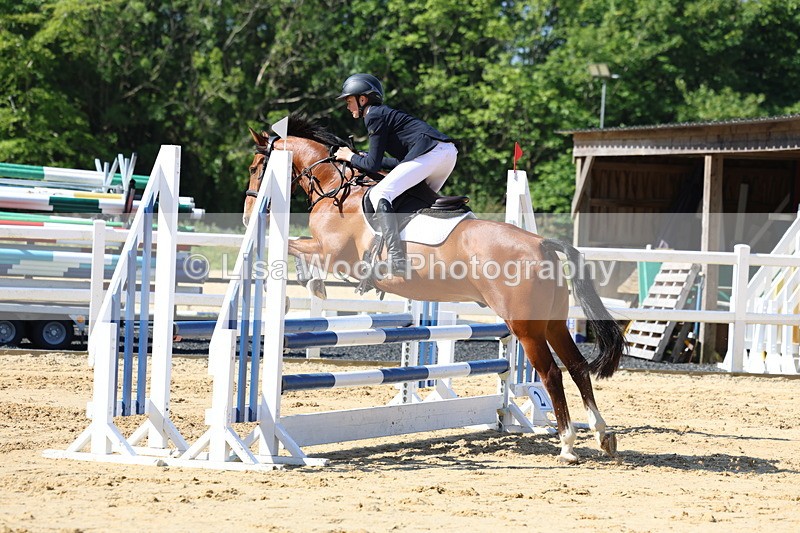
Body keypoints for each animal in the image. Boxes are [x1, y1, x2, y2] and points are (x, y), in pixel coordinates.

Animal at [243, 115, 626, 463]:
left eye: (255, 167)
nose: (248, 216)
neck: (338, 188)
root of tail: (541, 243)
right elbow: (294, 245)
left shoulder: (332, 254)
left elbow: (293, 246)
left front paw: (308, 286)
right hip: (552, 322)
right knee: (577, 366)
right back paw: (603, 434)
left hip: (526, 327)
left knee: (550, 373)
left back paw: (567, 444)